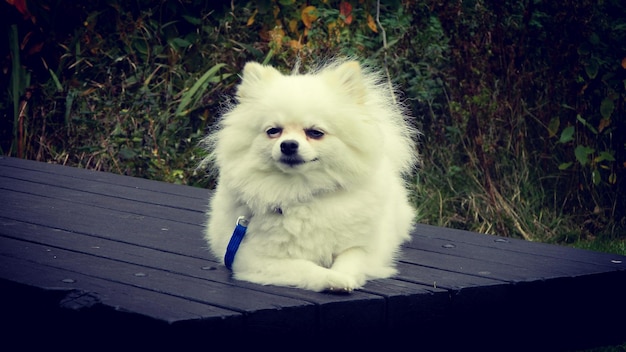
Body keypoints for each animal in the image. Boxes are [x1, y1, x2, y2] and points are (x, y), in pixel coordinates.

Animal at [202, 59, 416, 292]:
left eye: (315, 133)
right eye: (273, 131)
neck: (301, 190)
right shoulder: (252, 257)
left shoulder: (366, 248)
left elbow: (352, 257)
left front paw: (343, 275)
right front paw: (332, 278)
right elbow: (304, 267)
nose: (288, 145)